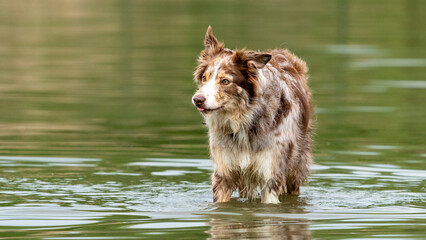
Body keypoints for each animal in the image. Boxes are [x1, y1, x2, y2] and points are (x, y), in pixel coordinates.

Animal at [192, 26, 312, 203]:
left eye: (225, 81)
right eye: (204, 78)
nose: (197, 99)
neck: (243, 121)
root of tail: (281, 51)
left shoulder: (271, 173)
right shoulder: (224, 173)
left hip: (296, 165)